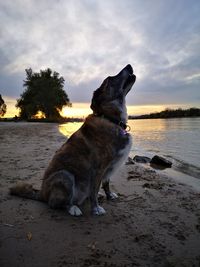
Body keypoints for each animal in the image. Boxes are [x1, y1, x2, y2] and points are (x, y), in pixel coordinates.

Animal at [10, 65, 137, 218]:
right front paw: (96, 208)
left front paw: (109, 195)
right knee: (56, 204)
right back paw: (73, 208)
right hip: (65, 176)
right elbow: (94, 190)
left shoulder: (109, 169)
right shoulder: (98, 169)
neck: (110, 119)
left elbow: (106, 183)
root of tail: (42, 194)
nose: (129, 66)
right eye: (110, 79)